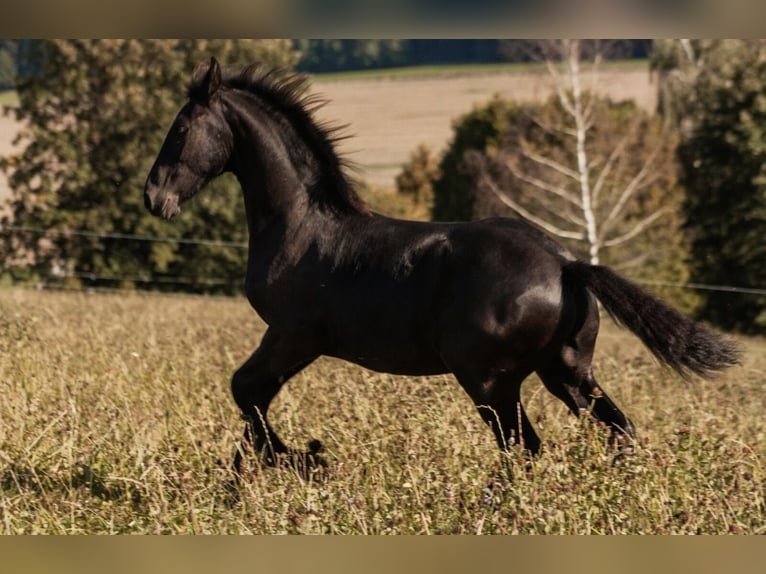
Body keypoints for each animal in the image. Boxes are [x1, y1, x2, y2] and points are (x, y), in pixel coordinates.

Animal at [144, 57, 739, 476]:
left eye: (181, 129)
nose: (154, 198)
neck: (300, 223)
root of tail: (567, 264)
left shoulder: (293, 335)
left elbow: (245, 390)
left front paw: (306, 459)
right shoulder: (291, 341)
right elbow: (252, 400)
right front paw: (256, 474)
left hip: (489, 379)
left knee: (524, 448)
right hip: (567, 371)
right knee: (616, 432)